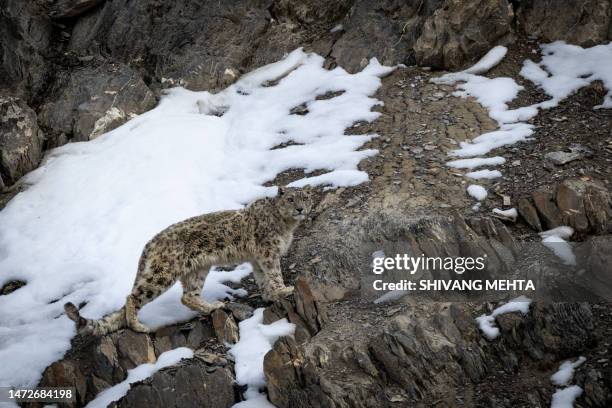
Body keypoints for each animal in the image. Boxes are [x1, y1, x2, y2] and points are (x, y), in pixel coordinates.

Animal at [64, 187, 316, 334]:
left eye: (305, 198)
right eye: (291, 199)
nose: (300, 208)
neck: (287, 226)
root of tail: (149, 243)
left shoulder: (258, 258)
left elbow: (263, 277)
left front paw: (270, 295)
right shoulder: (268, 252)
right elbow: (274, 273)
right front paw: (284, 289)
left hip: (197, 270)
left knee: (188, 296)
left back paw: (213, 306)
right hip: (162, 274)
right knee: (133, 296)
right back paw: (138, 325)